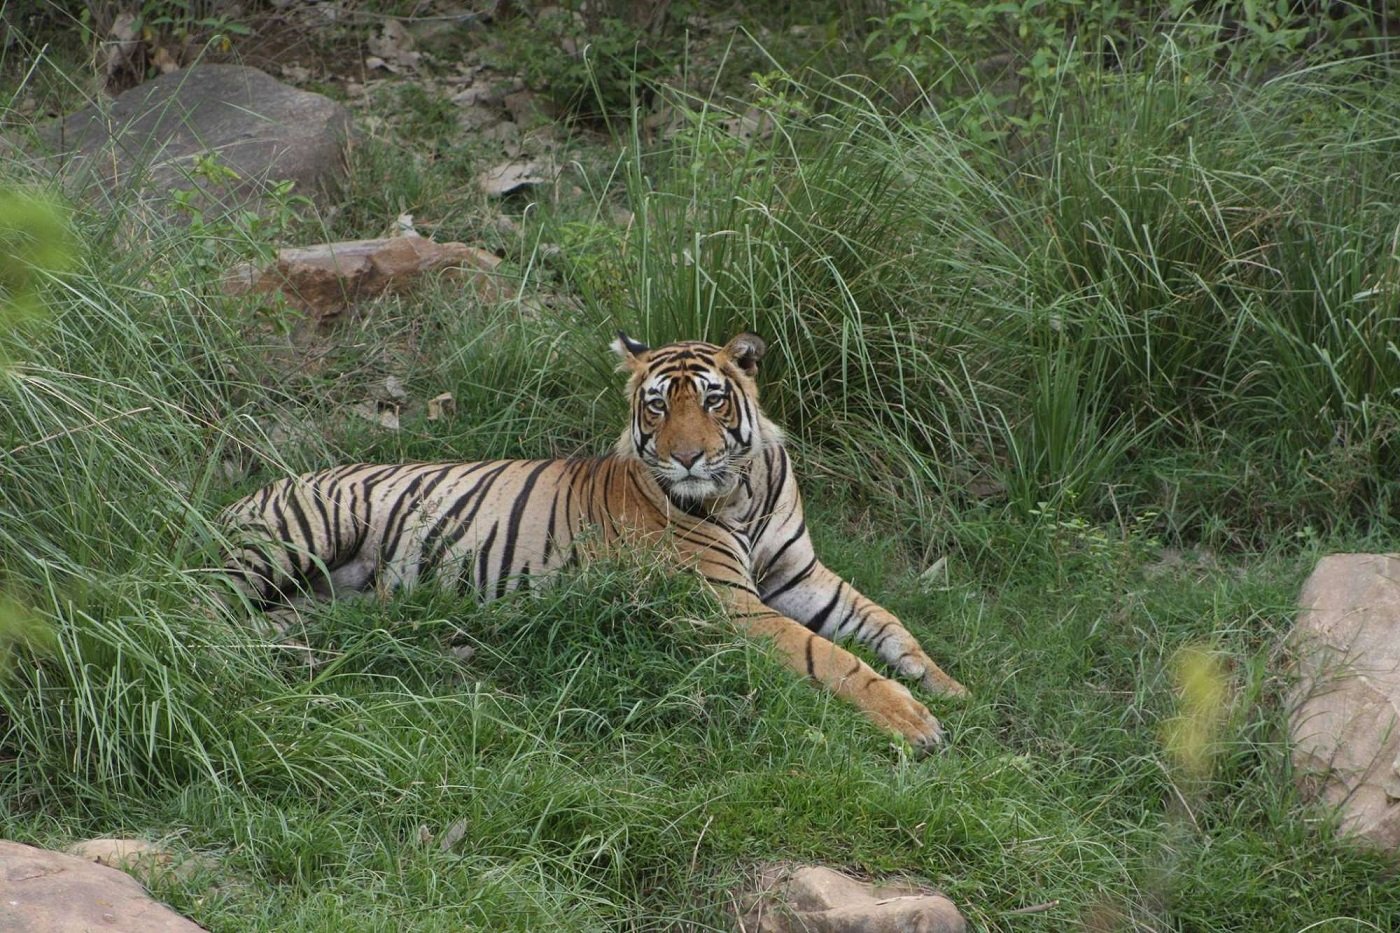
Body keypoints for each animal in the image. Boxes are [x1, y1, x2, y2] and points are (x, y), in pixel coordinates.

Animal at [221, 330, 963, 745]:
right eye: (658, 405)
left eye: (713, 399)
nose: (688, 458)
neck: (741, 489)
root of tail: (241, 496)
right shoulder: (731, 603)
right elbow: (827, 655)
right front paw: (915, 721)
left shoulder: (799, 573)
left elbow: (882, 621)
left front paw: (949, 686)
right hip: (303, 532)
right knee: (207, 608)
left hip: (320, 595)